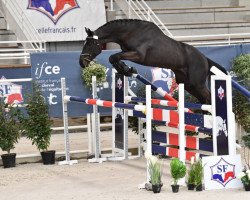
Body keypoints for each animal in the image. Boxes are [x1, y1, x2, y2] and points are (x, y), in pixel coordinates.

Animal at [79, 19, 228, 104]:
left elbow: (114, 56)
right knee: (204, 99)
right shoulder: (128, 53)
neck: (130, 32)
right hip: (187, 84)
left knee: (208, 98)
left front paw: (126, 69)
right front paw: (127, 70)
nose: (81, 62)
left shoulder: (138, 55)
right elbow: (115, 57)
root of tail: (205, 59)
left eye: (89, 44)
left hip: (197, 83)